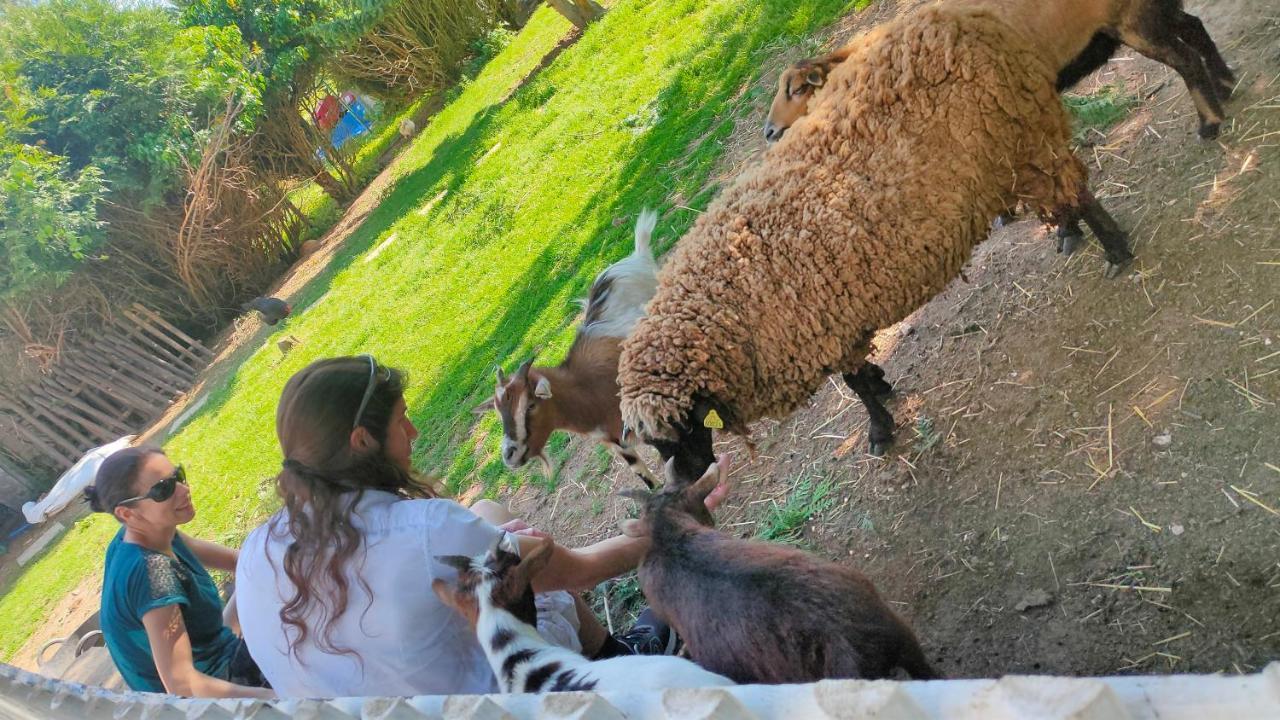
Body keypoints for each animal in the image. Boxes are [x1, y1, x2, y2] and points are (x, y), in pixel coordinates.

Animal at [478, 210, 660, 484]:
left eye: (530, 405)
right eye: (499, 413)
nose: (509, 455)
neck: (586, 387)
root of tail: (635, 257)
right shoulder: (615, 440)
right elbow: (644, 475)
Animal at [616, 2, 1131, 481]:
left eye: (680, 429)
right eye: (654, 444)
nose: (685, 481)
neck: (725, 304)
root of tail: (967, 18)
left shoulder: (826, 328)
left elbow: (855, 384)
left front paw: (880, 428)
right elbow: (862, 378)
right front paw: (882, 389)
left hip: (1026, 135)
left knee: (1076, 190)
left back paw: (1115, 250)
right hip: (1013, 150)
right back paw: (1072, 233)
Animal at [762, 0, 1233, 142]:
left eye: (797, 89)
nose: (768, 132)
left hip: (1133, 20)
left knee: (1185, 59)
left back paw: (1210, 123)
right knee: (1194, 26)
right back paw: (1226, 84)